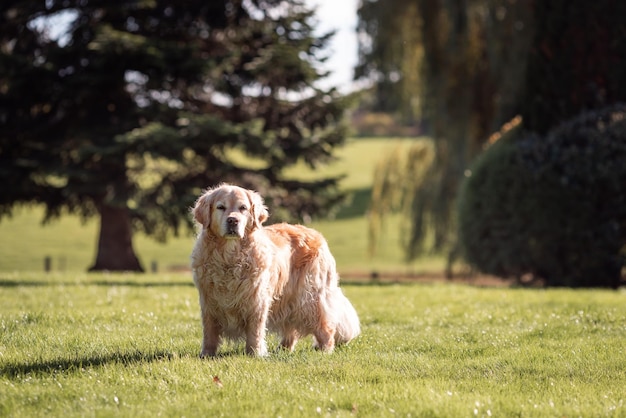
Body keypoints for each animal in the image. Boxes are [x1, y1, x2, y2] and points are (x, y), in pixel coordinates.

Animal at [188, 183, 358, 356]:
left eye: (243, 208)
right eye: (220, 207)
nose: (233, 220)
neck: (229, 257)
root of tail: (317, 234)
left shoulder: (256, 299)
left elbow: (255, 330)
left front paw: (255, 353)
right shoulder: (208, 300)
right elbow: (209, 330)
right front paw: (207, 354)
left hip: (309, 297)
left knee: (325, 326)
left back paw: (325, 350)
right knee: (291, 329)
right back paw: (284, 349)